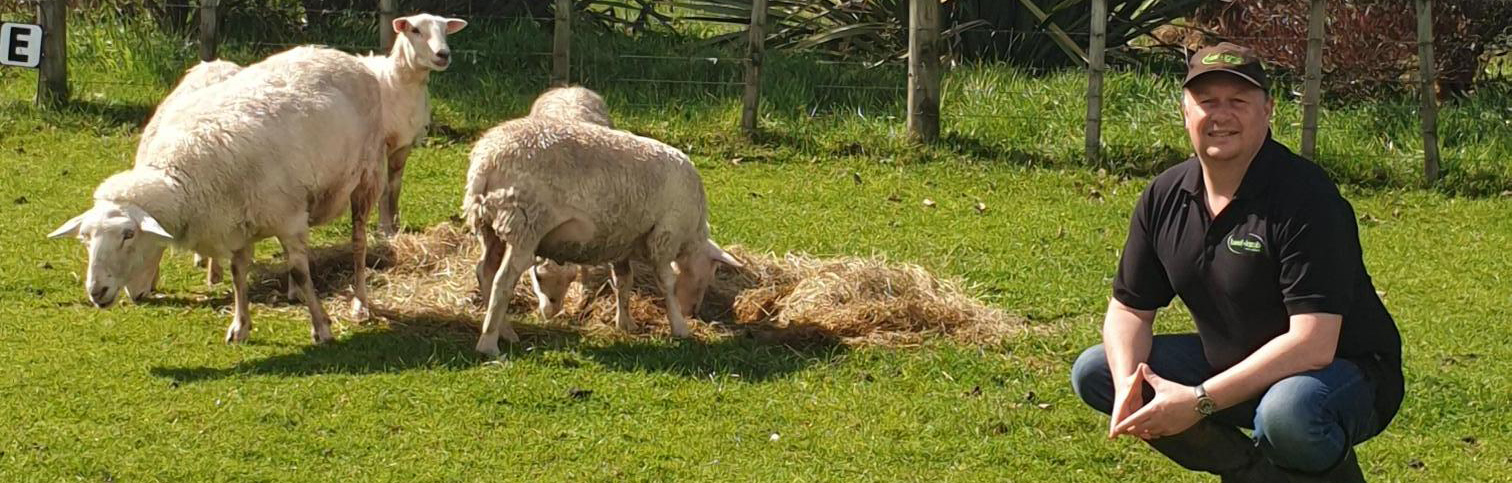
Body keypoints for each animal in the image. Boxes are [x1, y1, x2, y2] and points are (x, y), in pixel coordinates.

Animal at [48, 46, 386, 345]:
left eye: (128, 234)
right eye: (85, 238)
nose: (96, 292)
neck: (181, 177)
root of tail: (341, 56)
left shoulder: (288, 218)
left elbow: (301, 271)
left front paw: (322, 328)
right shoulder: (236, 223)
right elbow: (239, 274)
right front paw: (240, 327)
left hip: (367, 176)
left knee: (358, 243)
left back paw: (360, 303)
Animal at [359, 13, 467, 237]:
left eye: (445, 30)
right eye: (415, 30)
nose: (443, 54)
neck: (396, 83)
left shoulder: (404, 144)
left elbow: (395, 186)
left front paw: (397, 225)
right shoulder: (381, 144)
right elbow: (384, 187)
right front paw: (385, 229)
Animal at [462, 118, 741, 357]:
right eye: (706, 278)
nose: (693, 312)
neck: (691, 238)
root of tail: (487, 160)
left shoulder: (622, 241)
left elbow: (623, 282)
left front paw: (625, 323)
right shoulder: (665, 236)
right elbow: (667, 283)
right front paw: (680, 327)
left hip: (491, 225)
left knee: (485, 272)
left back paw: (506, 332)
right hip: (525, 223)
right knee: (503, 281)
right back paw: (489, 344)